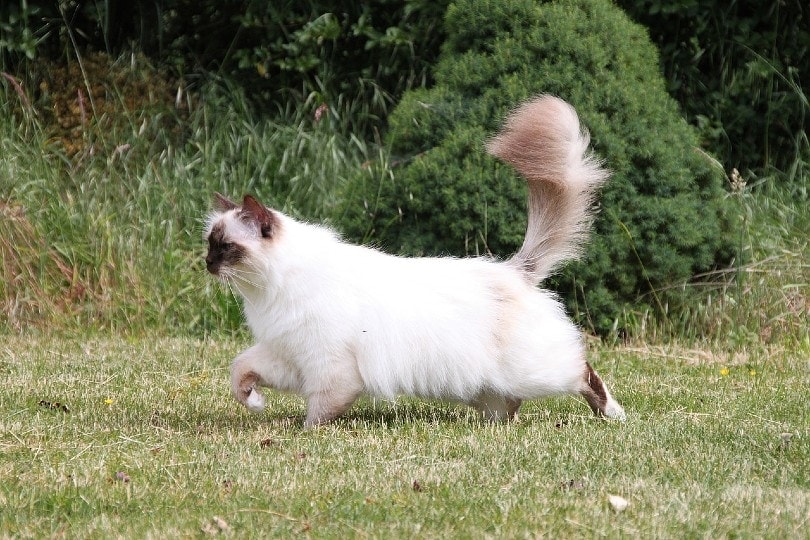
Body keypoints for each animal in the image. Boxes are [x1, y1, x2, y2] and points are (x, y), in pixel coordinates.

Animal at [204, 96, 624, 426]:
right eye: (210, 244)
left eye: (225, 247)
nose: (206, 263)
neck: (267, 293)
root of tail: (514, 270)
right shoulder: (285, 354)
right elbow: (239, 372)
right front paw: (255, 402)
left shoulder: (329, 367)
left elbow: (318, 412)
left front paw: (304, 433)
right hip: (488, 387)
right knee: (509, 405)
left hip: (535, 370)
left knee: (582, 372)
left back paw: (613, 414)